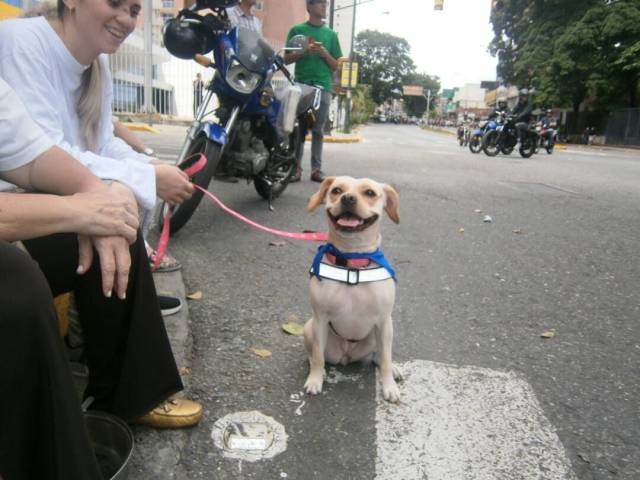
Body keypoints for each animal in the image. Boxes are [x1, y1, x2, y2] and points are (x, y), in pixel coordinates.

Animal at [304, 175, 400, 402]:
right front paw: (315, 379)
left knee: (380, 355)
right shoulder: (320, 319)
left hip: (380, 333)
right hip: (308, 328)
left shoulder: (384, 320)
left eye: (370, 193)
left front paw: (389, 385)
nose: (348, 198)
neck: (352, 261)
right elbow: (318, 356)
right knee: (314, 355)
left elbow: (385, 358)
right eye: (336, 190)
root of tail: (347, 356)